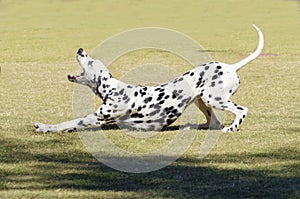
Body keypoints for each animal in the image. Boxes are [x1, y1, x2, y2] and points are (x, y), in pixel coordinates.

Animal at [34, 24, 262, 132]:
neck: (113, 88)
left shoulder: (95, 118)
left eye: (90, 61)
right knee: (213, 122)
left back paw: (231, 128)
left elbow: (67, 123)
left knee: (241, 111)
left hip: (212, 98)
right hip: (201, 100)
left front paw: (46, 127)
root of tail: (231, 66)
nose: (81, 50)